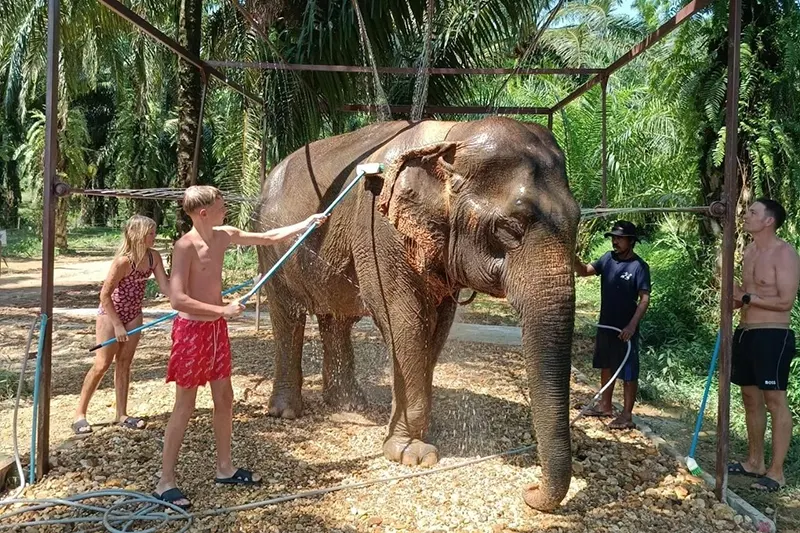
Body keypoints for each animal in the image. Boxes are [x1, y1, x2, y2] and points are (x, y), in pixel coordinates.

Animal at [253, 117, 580, 511]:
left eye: (579, 221)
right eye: (510, 228)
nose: (529, 491)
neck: (453, 137)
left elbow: (437, 325)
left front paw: (424, 434)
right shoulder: (379, 229)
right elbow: (404, 319)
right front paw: (412, 455)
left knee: (337, 318)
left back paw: (349, 405)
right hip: (269, 242)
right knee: (288, 315)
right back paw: (287, 412)